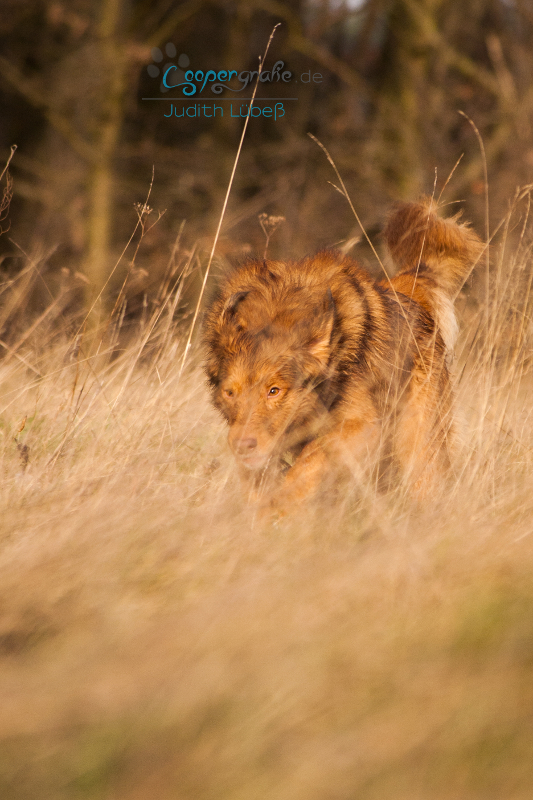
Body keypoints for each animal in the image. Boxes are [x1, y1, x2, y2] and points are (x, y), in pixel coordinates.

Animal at [203, 200, 482, 512]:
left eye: (274, 391)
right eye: (229, 393)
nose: (242, 446)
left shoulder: (362, 426)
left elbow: (310, 460)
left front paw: (278, 508)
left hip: (418, 445)